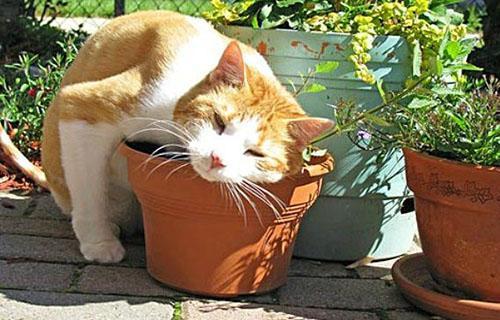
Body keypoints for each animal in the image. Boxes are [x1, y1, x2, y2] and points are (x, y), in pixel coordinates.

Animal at [41, 11, 334, 264]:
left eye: (255, 153)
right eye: (218, 121)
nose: (217, 159)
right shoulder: (81, 108)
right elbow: (89, 193)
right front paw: (99, 242)